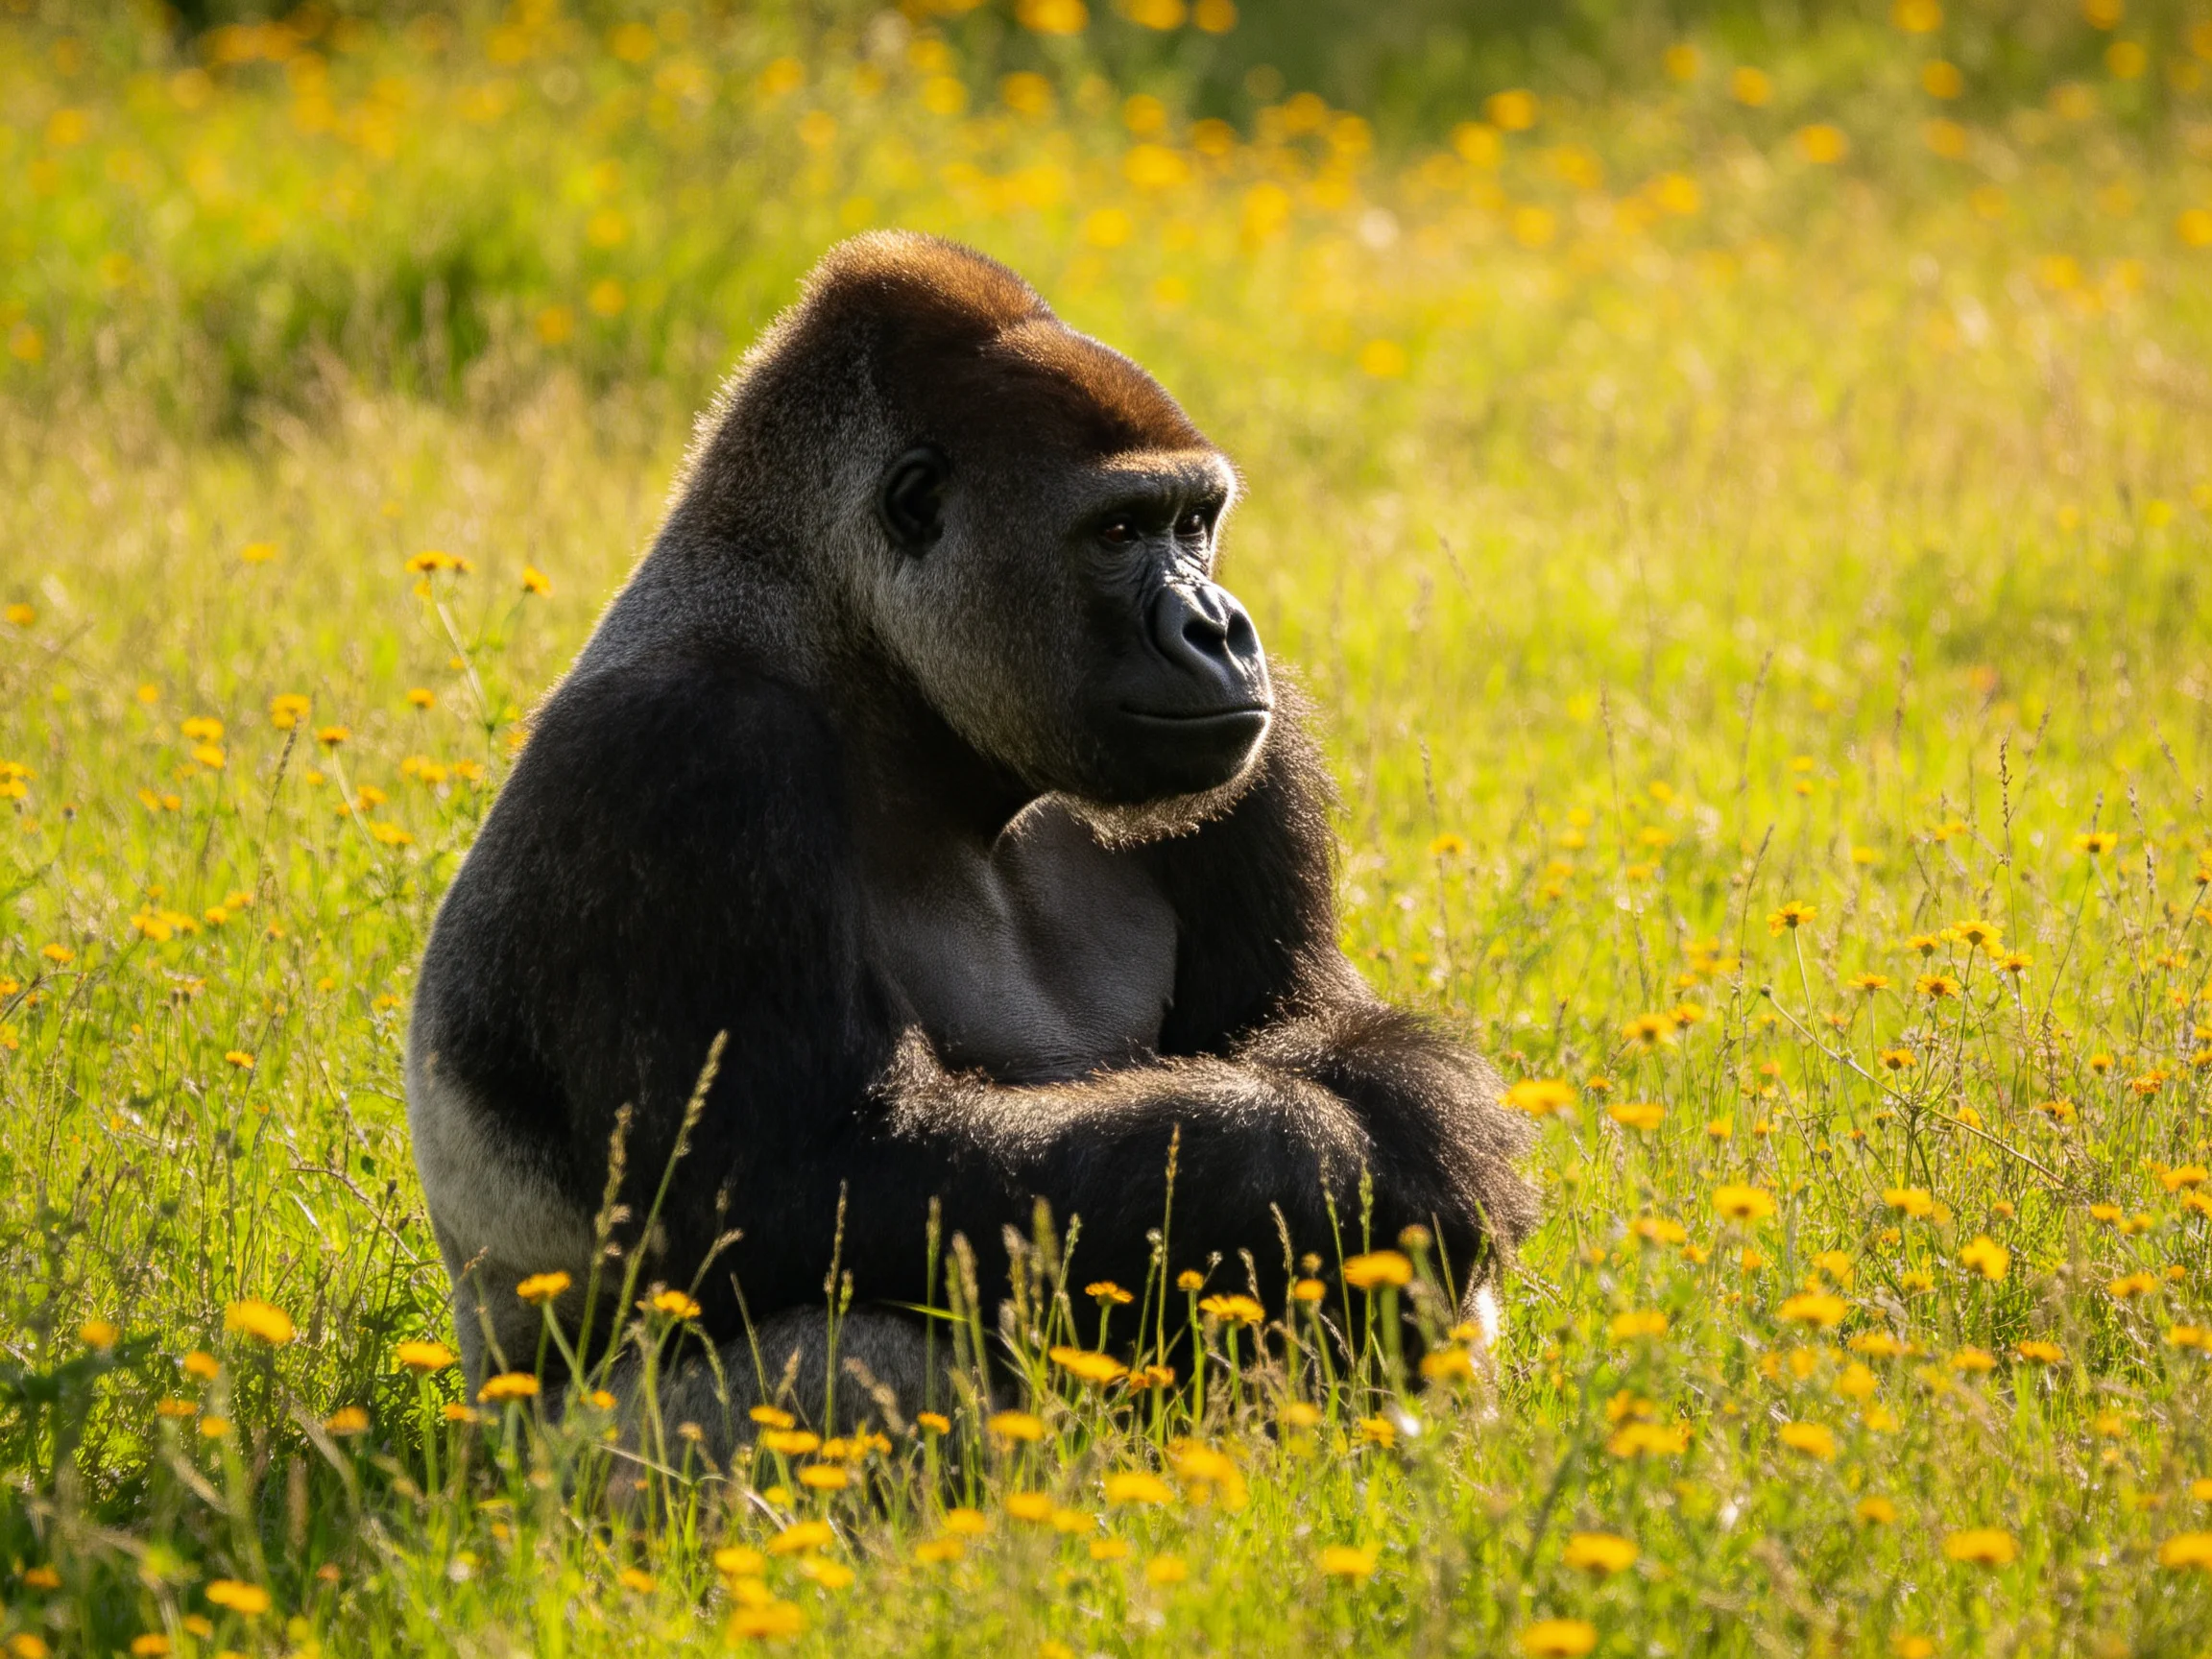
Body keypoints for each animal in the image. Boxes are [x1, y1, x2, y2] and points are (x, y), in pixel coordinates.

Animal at [405, 231, 1537, 1439]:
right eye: (1119, 531)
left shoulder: (1254, 766)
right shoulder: (689, 752)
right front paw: (1374, 1148)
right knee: (853, 1352)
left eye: (1194, 522)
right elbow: (803, 1179)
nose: (1220, 629)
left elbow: (1303, 1021)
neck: (848, 647)